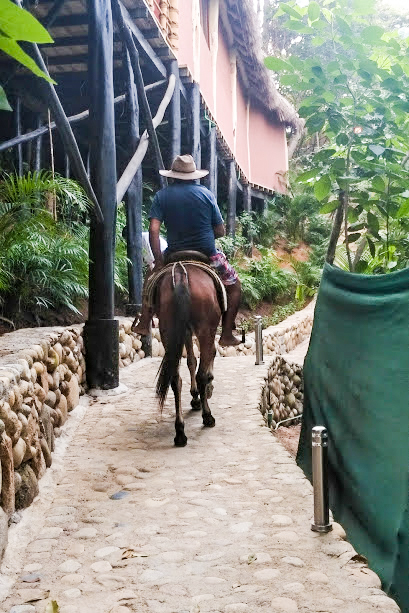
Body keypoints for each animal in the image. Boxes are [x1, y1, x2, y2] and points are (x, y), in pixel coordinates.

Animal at [154, 261, 222, 446]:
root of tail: (180, 274)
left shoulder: (184, 332)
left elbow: (191, 360)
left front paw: (195, 397)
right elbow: (208, 358)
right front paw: (206, 391)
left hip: (168, 331)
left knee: (175, 379)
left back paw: (180, 431)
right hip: (204, 330)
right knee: (201, 375)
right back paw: (207, 416)